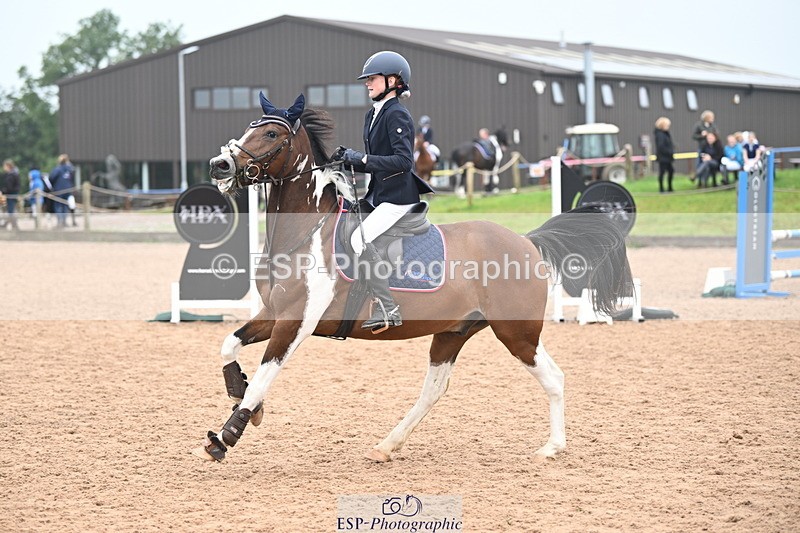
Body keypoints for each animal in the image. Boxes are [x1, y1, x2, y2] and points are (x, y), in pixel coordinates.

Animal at [195, 92, 632, 464]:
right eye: (250, 127)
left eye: (271, 133)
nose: (219, 166)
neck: (307, 230)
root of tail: (527, 241)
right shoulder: (274, 313)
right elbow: (228, 346)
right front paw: (241, 394)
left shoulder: (296, 322)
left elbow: (265, 376)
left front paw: (227, 434)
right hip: (454, 331)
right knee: (434, 390)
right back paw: (387, 445)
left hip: (516, 332)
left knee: (553, 378)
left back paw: (552, 447)